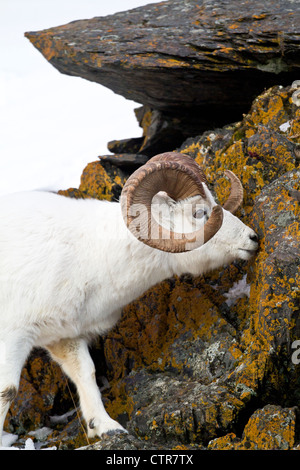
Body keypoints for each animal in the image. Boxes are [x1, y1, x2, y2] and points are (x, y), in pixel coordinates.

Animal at [0, 152, 258, 442]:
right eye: (199, 212)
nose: (253, 238)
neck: (89, 256)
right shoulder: (14, 334)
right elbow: (7, 391)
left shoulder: (65, 338)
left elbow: (86, 373)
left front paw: (106, 427)